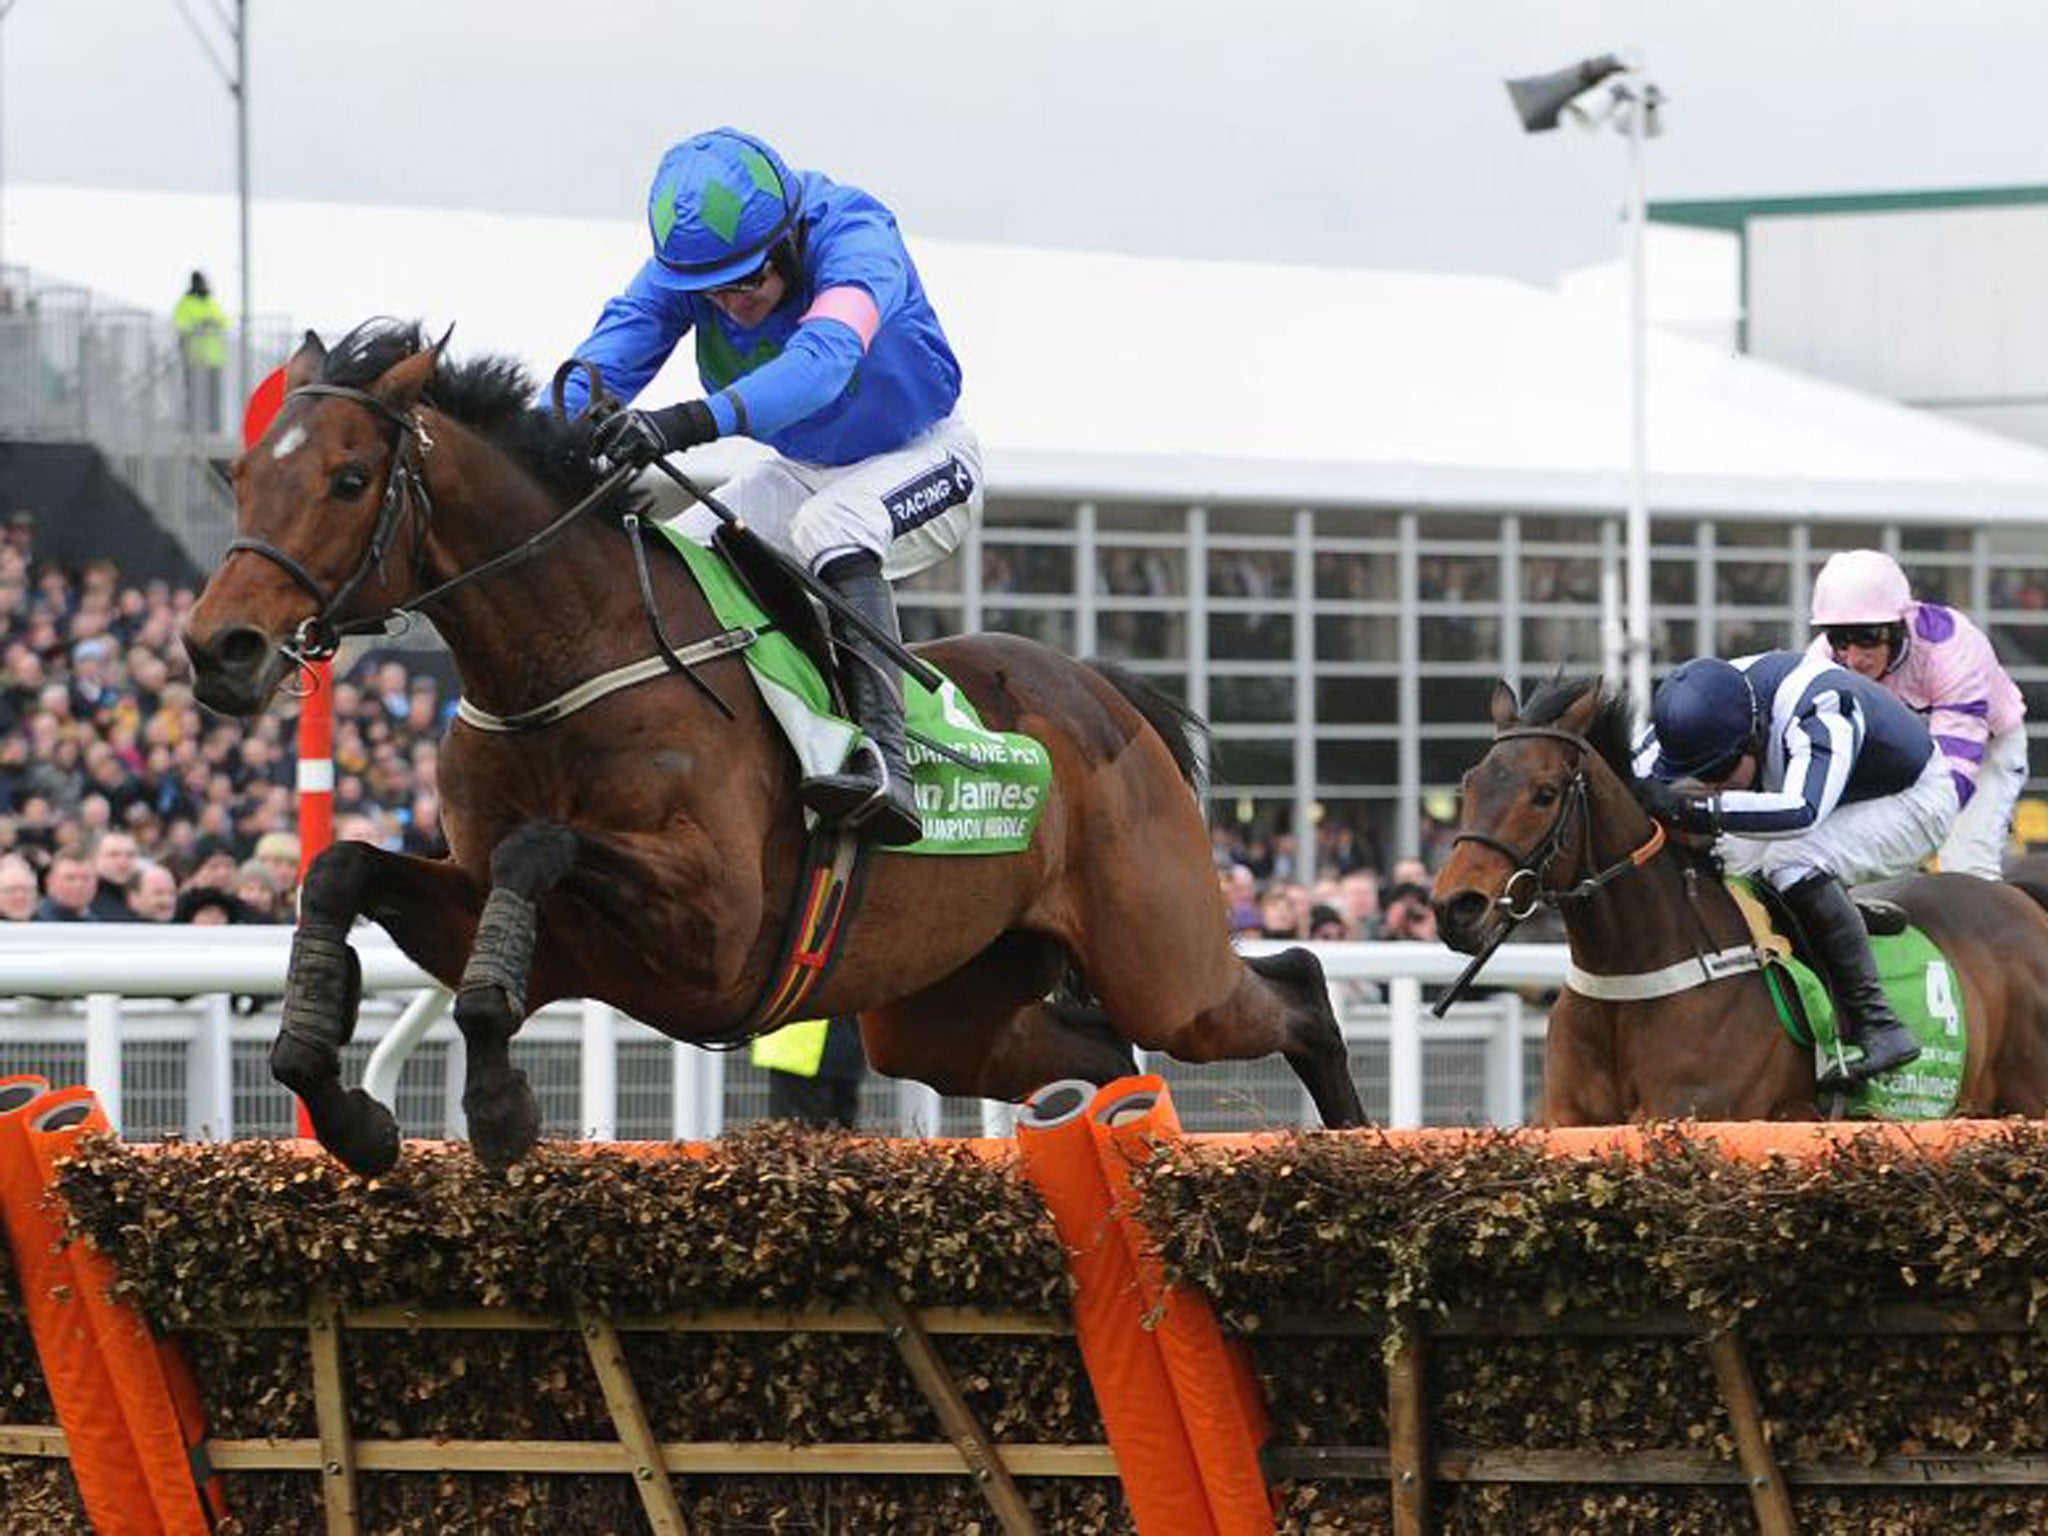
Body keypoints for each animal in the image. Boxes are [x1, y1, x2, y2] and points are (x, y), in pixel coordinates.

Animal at [180, 319, 1359, 1171]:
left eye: (346, 479)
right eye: (238, 476)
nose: (217, 648)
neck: (568, 662)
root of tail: (1105, 694)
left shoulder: (715, 926)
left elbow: (537, 850)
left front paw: (501, 1107)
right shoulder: (508, 919)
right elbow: (342, 869)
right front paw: (342, 1103)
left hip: (1161, 961)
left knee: (1294, 988)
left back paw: (1355, 1147)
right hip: (945, 1011)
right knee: (1103, 1055)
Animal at [1433, 679, 2048, 1122]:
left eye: (1544, 793)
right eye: (1469, 784)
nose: (1455, 907)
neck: (1632, 978)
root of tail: (2018, 899)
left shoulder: (1696, 1116)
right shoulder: (1568, 1125)